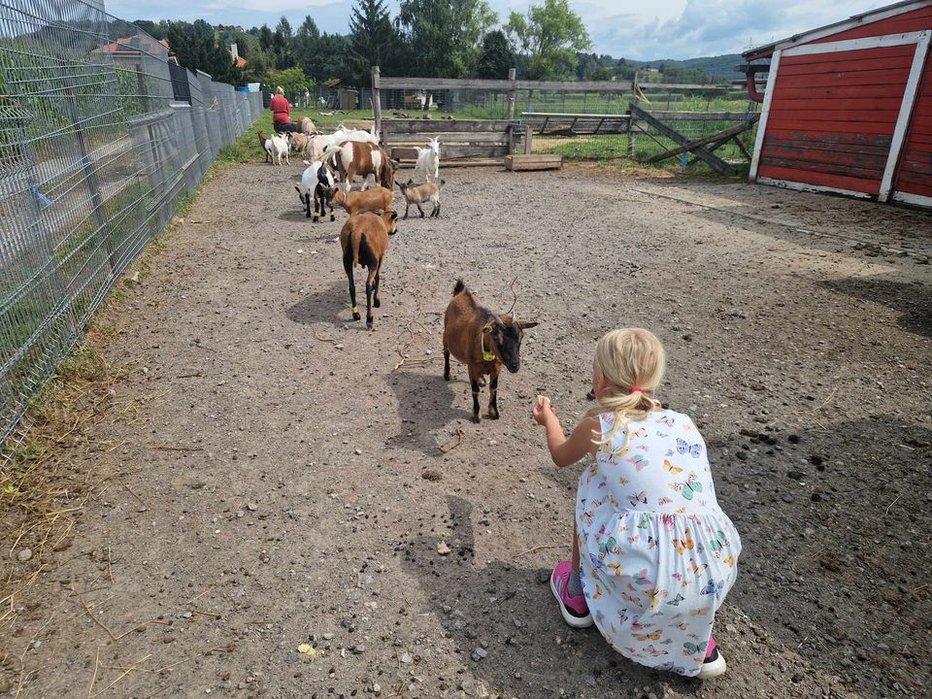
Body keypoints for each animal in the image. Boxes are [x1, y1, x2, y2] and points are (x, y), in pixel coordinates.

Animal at [444, 280, 540, 424]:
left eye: (521, 337)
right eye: (495, 337)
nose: (515, 365)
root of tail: (461, 292)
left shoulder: (497, 367)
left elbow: (493, 387)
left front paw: (494, 412)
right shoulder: (472, 367)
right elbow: (475, 390)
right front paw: (477, 415)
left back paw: (481, 379)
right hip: (445, 336)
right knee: (446, 353)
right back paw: (446, 374)